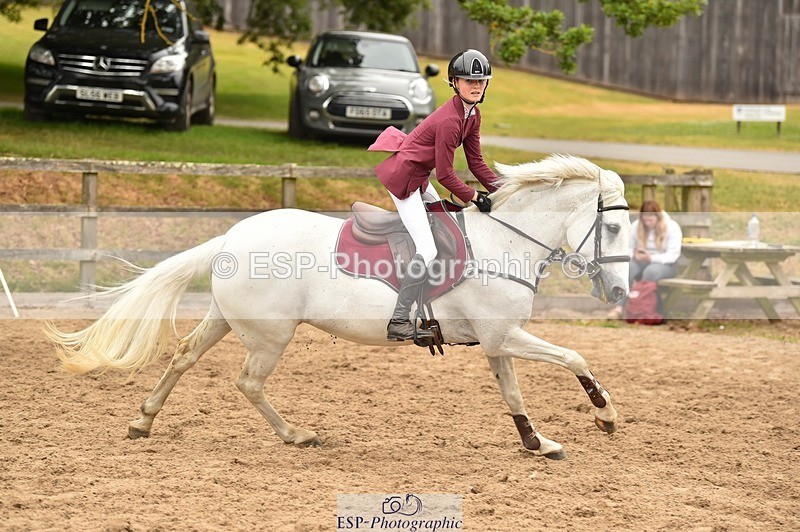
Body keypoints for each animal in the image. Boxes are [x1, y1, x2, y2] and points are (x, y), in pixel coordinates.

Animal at [47, 154, 631, 460]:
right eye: (614, 228)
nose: (621, 294)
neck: (505, 241)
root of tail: (231, 237)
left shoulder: (496, 340)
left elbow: (513, 392)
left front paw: (537, 441)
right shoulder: (505, 336)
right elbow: (575, 357)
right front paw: (604, 414)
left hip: (227, 320)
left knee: (185, 355)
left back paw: (143, 422)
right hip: (271, 335)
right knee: (248, 382)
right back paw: (296, 434)